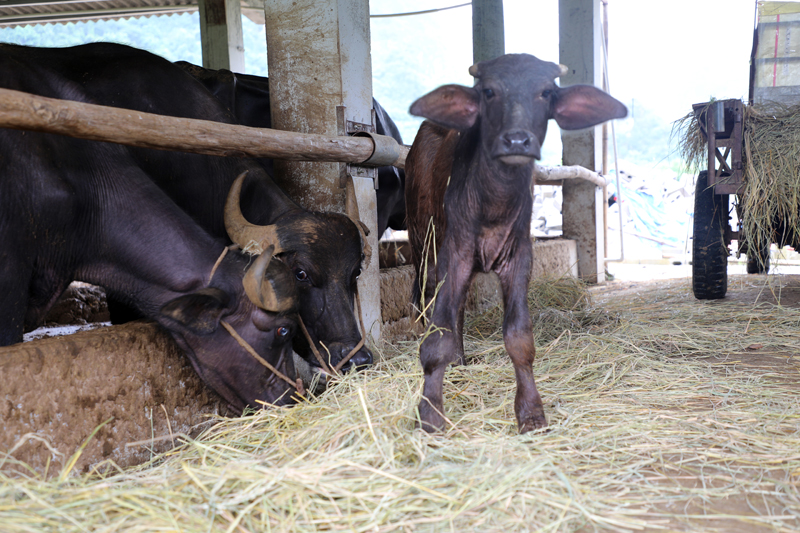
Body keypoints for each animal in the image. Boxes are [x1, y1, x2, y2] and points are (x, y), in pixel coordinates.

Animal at [406, 53, 624, 432]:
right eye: (489, 91)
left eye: (546, 92)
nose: (517, 141)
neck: (493, 202)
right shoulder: (454, 252)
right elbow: (436, 337)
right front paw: (430, 415)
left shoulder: (519, 257)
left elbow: (519, 338)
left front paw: (531, 414)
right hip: (422, 240)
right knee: (427, 295)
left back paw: (461, 358)